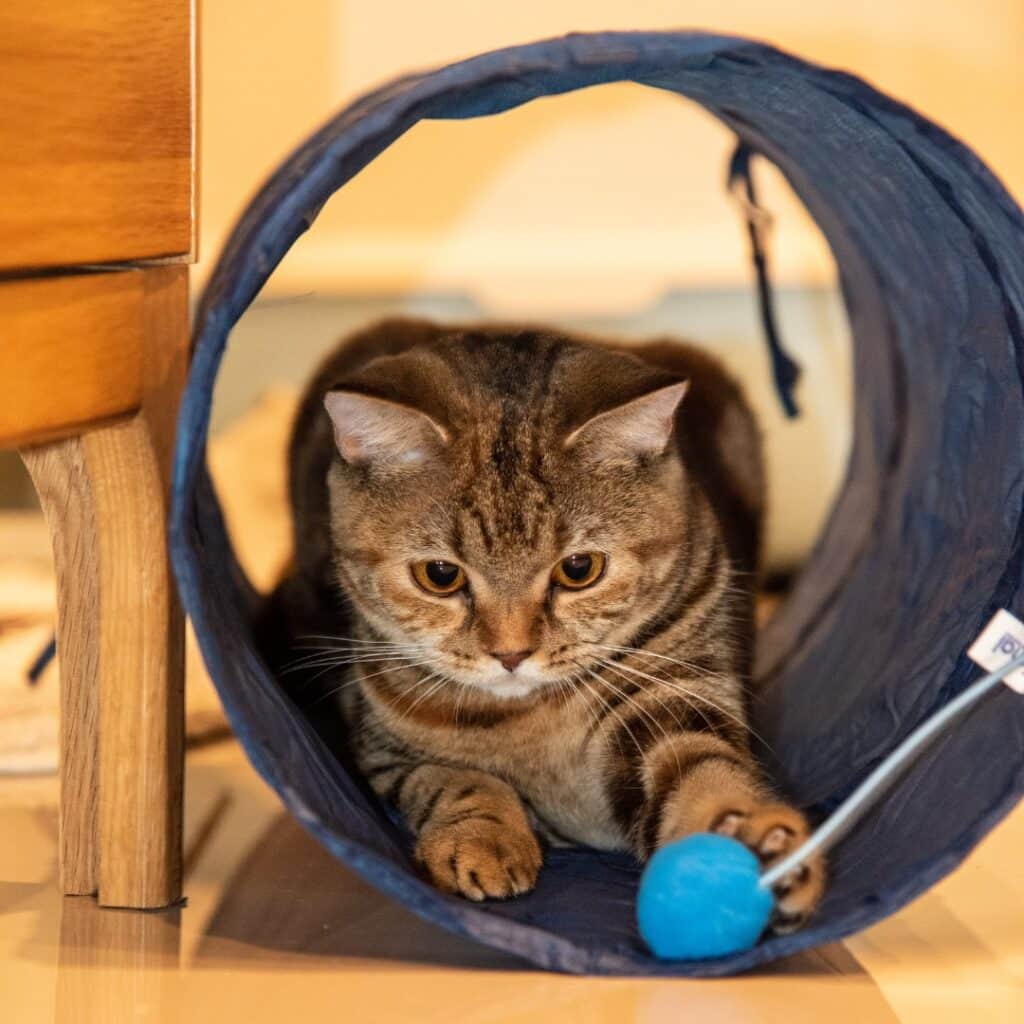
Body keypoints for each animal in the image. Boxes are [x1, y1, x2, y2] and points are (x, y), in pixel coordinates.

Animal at [264, 315, 823, 933]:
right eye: (440, 575)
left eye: (579, 569)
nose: (511, 654)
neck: (534, 719)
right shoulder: (382, 746)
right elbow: (456, 777)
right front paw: (483, 838)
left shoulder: (673, 697)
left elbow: (707, 775)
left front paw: (763, 853)